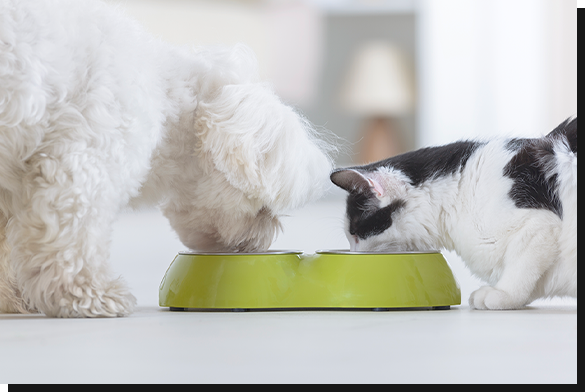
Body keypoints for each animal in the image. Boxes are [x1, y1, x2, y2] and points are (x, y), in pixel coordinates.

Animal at [0, 0, 334, 316]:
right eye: (263, 208)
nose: (260, 244)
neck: (166, 97)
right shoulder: (85, 163)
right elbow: (73, 237)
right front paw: (91, 296)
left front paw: (12, 298)